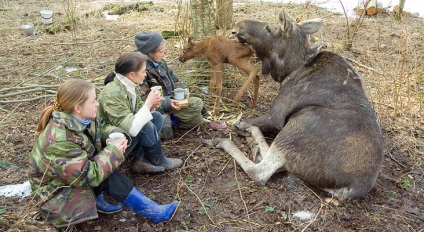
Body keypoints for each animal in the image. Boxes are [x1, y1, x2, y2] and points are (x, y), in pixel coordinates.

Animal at [205, 6, 384, 204]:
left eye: (269, 28)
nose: (237, 27)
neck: (289, 70)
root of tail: (351, 189)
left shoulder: (276, 116)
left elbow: (245, 121)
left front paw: (239, 126)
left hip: (300, 123)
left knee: (260, 171)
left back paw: (230, 140)